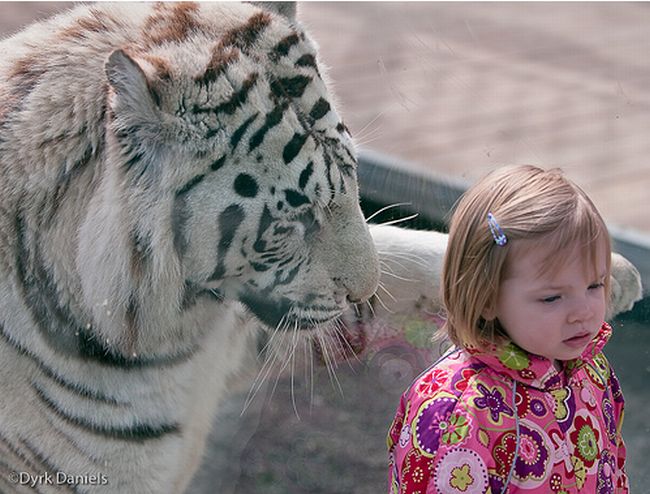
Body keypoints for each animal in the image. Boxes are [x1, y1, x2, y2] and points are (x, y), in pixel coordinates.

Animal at [0, 1, 640, 492]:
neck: (178, 338)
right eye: (296, 216)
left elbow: (406, 257)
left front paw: (612, 273)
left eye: (353, 177)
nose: (361, 291)